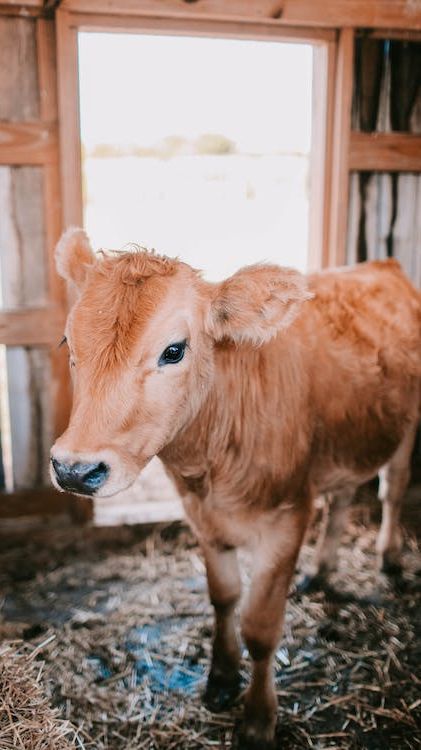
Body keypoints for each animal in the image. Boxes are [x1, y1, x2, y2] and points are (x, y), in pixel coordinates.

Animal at [50, 231, 418, 750]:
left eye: (174, 351)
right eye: (68, 342)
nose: (75, 469)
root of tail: (381, 265)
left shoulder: (288, 518)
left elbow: (261, 629)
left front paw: (258, 720)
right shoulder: (202, 517)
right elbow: (223, 597)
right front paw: (221, 678)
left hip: (407, 424)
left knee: (393, 487)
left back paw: (389, 559)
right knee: (343, 498)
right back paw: (322, 571)